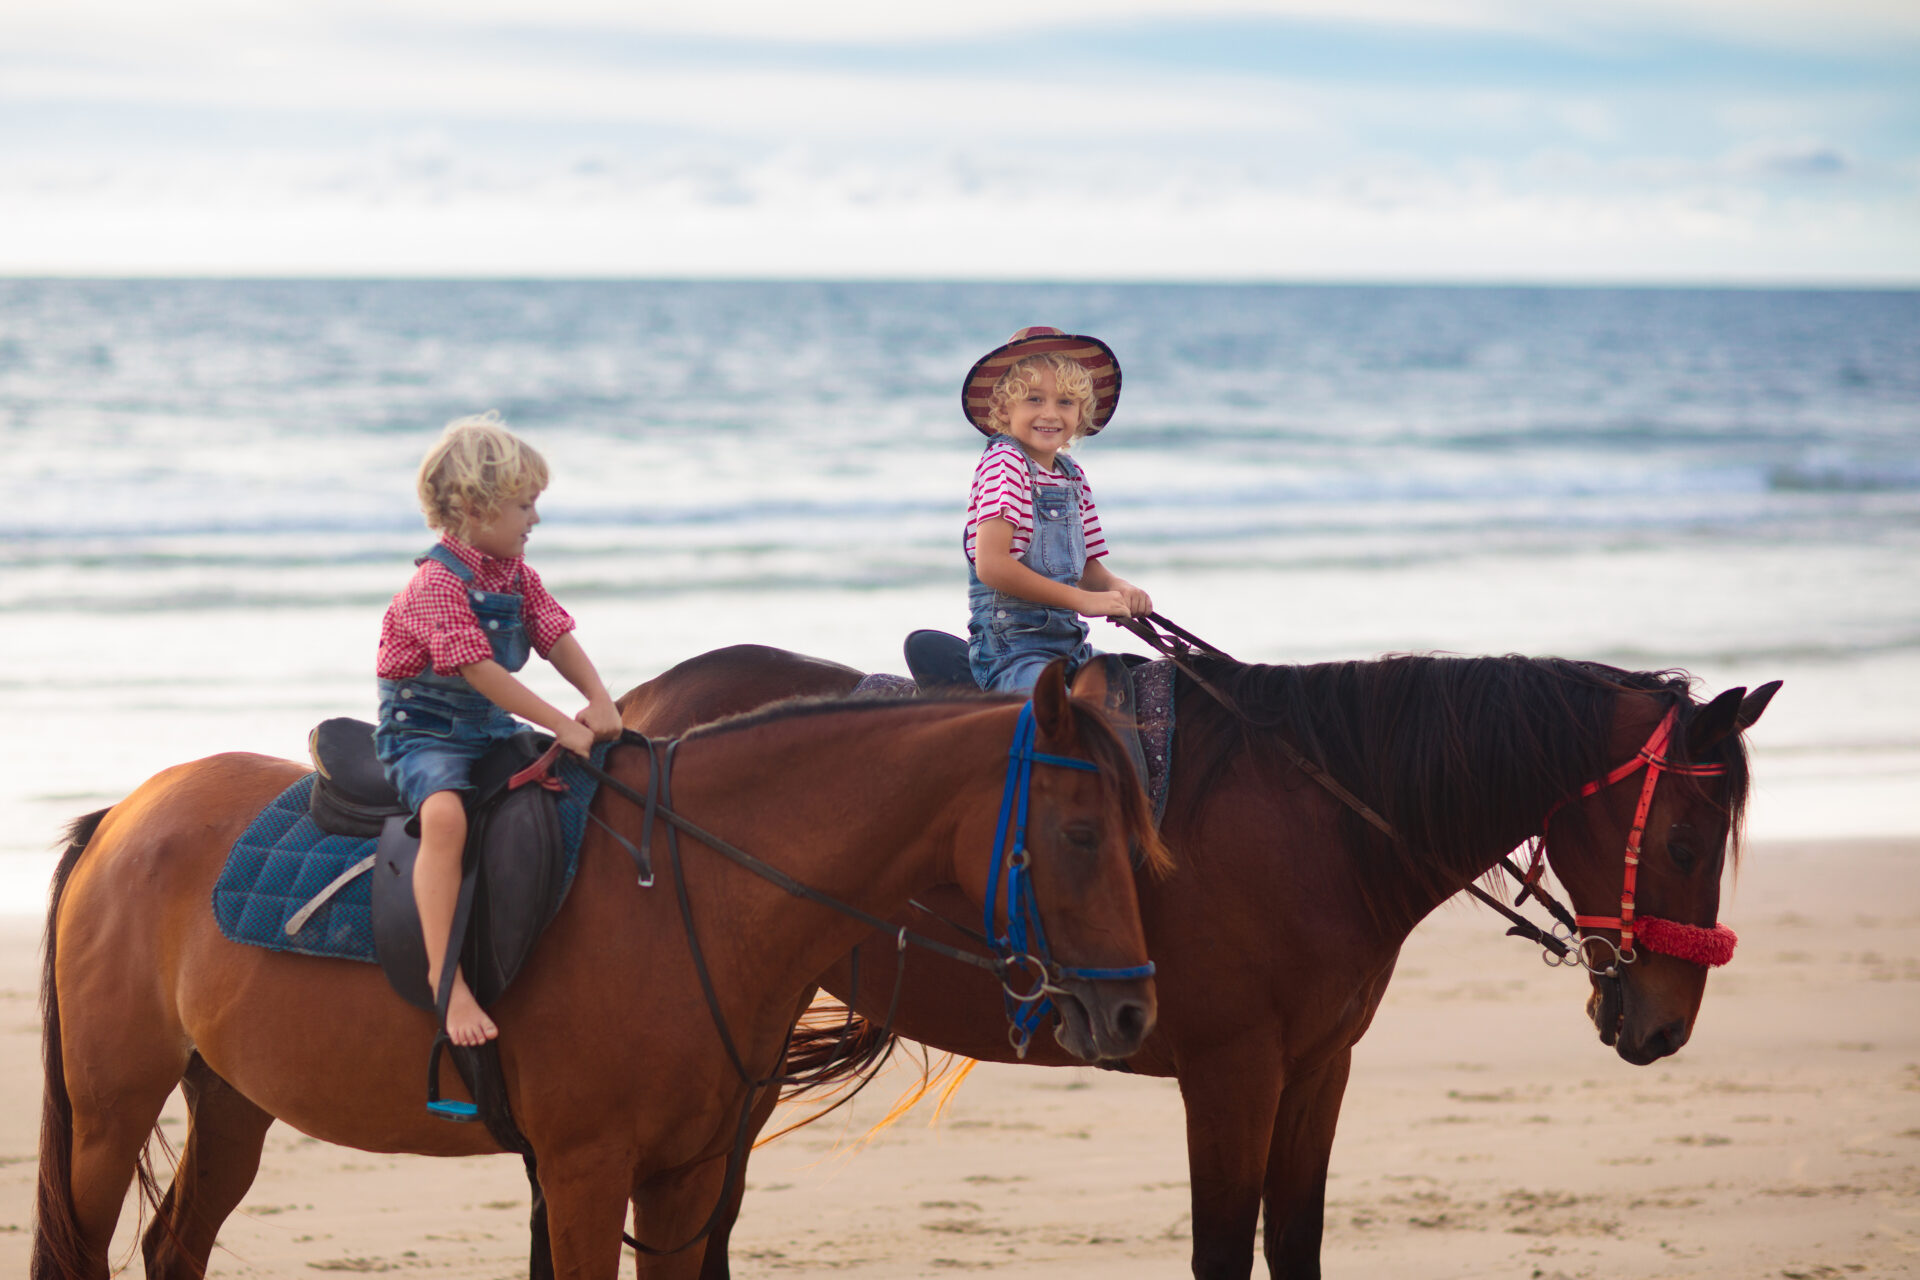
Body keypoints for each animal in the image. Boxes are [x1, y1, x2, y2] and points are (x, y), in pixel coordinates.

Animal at [37, 667, 1159, 1274]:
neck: (688, 890)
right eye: (1079, 833)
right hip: (109, 1113)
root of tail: (126, 815)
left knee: (174, 1247)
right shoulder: (584, 1169)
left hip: (230, 1101)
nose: (1131, 1010)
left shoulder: (683, 1173)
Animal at [610, 644, 1766, 1280]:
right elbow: (1221, 1251)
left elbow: (1293, 1244)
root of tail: (637, 712)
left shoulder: (1318, 1068)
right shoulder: (1232, 1073)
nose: (1664, 1022)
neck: (1320, 821)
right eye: (1683, 842)